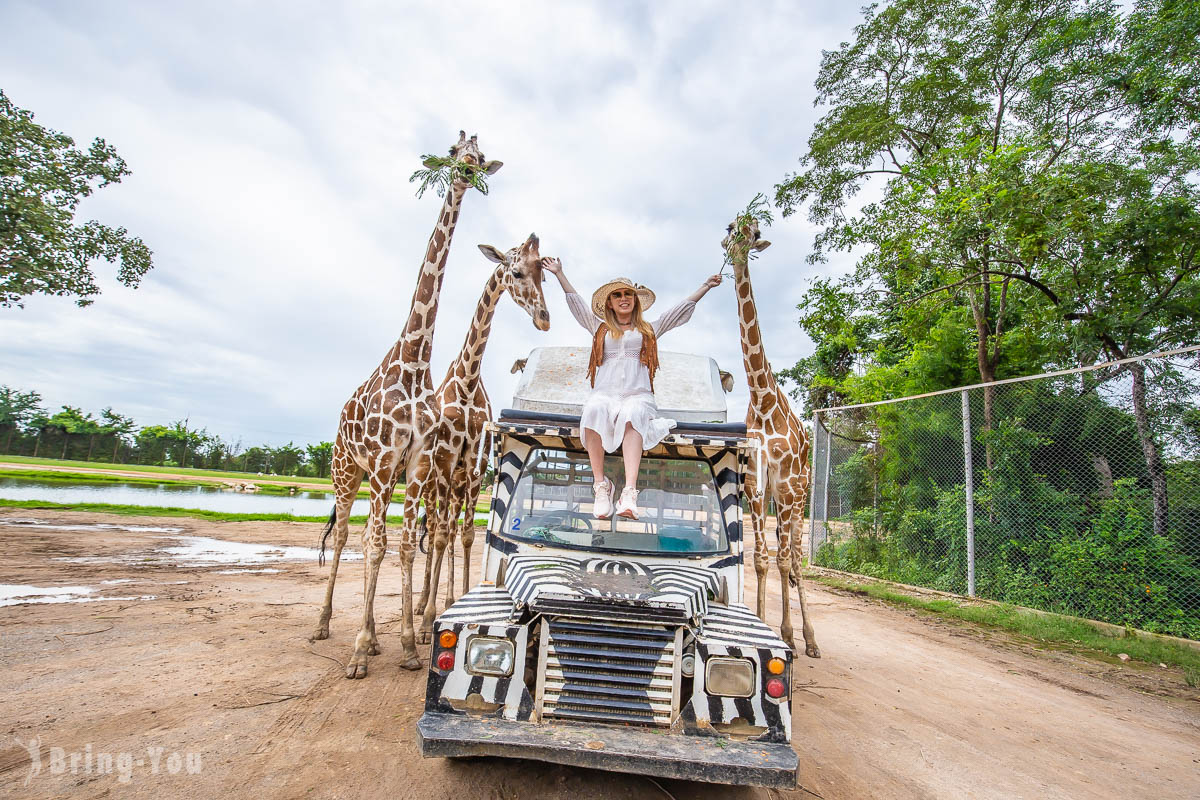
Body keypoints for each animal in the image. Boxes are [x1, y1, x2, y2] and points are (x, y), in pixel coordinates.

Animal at [309, 133, 501, 681]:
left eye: (480, 159)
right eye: (457, 151)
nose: (465, 174)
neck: (415, 361)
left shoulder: (421, 464)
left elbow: (412, 543)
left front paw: (410, 643)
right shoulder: (385, 461)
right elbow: (382, 544)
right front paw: (361, 649)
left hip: (394, 478)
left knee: (389, 536)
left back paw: (383, 632)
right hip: (347, 471)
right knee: (347, 536)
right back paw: (326, 626)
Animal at [410, 232, 547, 638]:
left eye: (543, 274)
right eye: (516, 271)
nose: (543, 318)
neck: (468, 382)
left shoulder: (472, 467)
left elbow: (468, 535)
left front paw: (458, 597)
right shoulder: (445, 463)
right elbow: (441, 535)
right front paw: (427, 621)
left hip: (456, 485)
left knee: (450, 529)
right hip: (433, 484)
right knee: (435, 529)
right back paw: (421, 605)